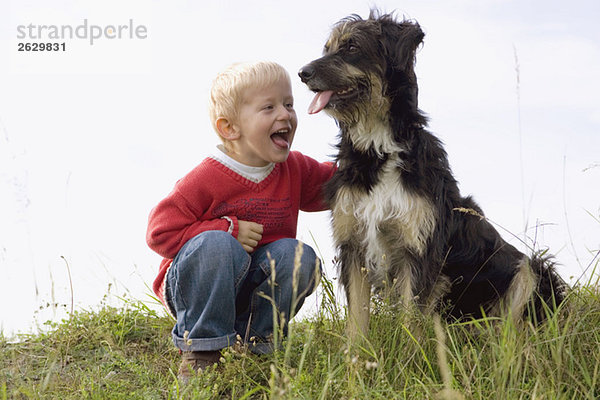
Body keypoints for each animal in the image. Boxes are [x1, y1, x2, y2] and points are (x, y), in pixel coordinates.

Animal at [300, 10, 568, 340]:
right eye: (327, 48)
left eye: (351, 47)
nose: (302, 73)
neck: (381, 150)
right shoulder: (354, 245)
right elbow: (356, 324)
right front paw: (355, 355)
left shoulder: (417, 250)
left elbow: (408, 321)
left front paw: (405, 353)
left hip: (531, 269)